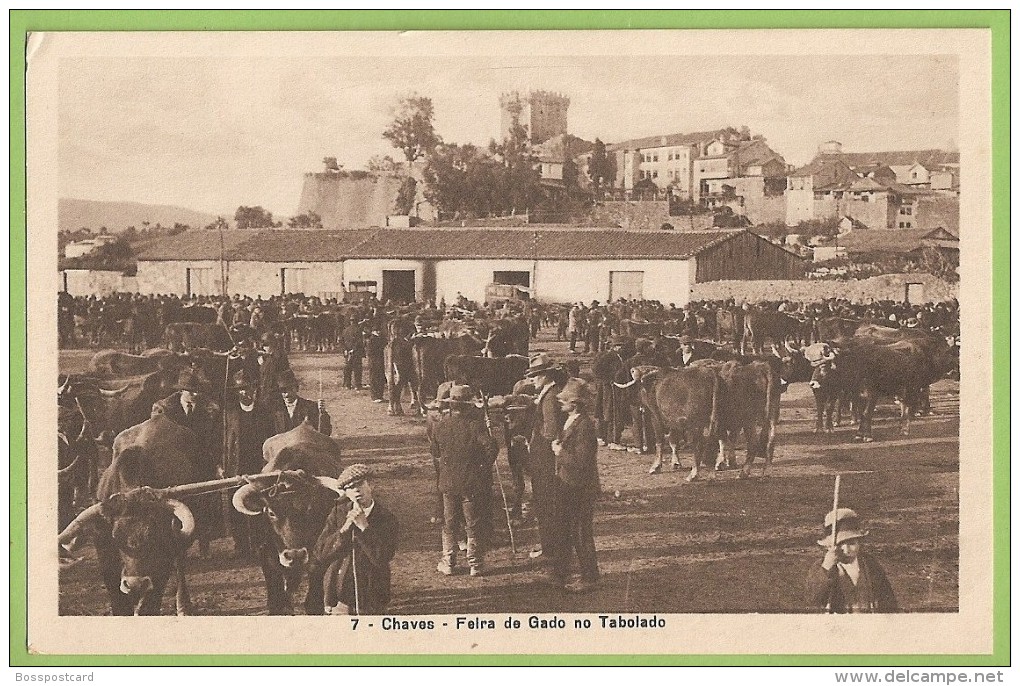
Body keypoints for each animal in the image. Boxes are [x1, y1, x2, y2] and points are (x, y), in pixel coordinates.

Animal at [56, 413, 204, 619]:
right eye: (115, 538)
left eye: (154, 537)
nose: (135, 584)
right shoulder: (106, 557)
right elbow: (119, 603)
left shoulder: (163, 561)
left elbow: (150, 603)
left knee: (180, 564)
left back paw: (183, 606)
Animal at [231, 421, 342, 615]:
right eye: (271, 512)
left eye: (312, 510)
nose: (294, 555)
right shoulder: (265, 551)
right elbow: (276, 595)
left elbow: (314, 598)